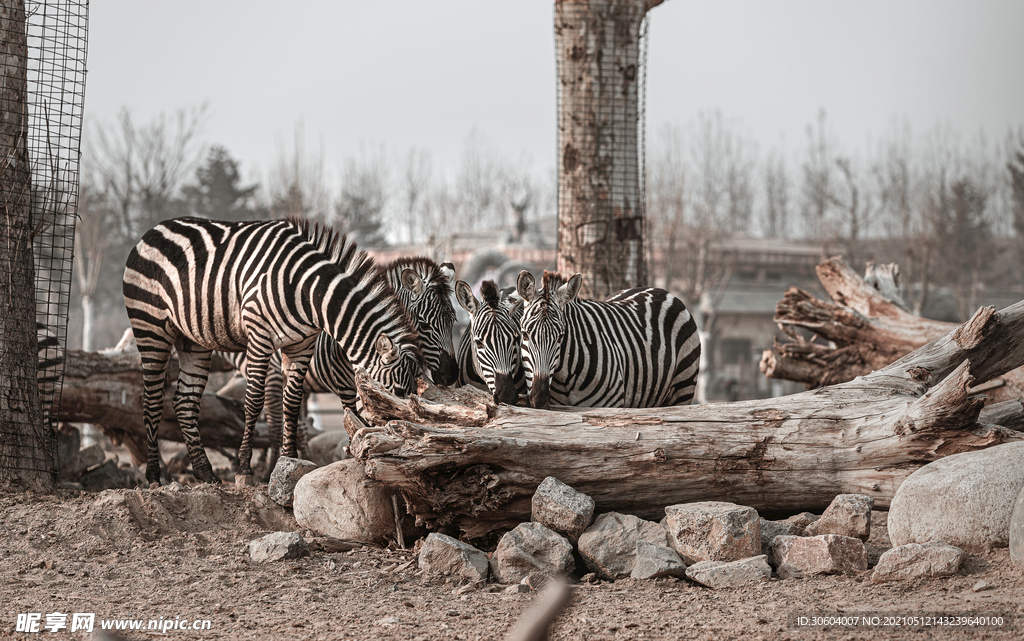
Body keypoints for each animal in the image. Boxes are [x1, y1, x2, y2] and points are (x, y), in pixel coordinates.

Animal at [122, 217, 419, 481]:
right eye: (395, 393)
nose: (396, 439)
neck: (307, 292)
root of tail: (154, 229)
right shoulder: (260, 338)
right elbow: (255, 401)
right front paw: (246, 469)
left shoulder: (302, 346)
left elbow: (292, 404)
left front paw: (289, 459)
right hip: (150, 326)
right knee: (151, 400)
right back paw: (154, 475)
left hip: (193, 339)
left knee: (185, 401)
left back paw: (205, 472)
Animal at [516, 270, 700, 409]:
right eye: (525, 334)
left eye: (561, 336)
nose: (539, 398)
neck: (564, 380)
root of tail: (661, 290)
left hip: (683, 388)